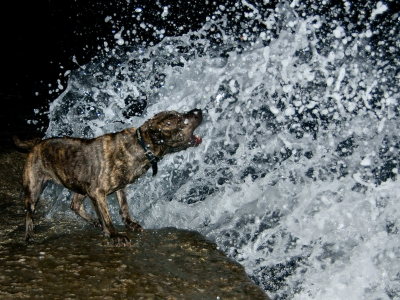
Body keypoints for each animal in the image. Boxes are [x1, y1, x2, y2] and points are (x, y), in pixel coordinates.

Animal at [15, 109, 203, 245]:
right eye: (179, 120)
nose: (198, 110)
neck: (141, 145)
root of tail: (37, 144)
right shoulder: (97, 192)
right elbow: (107, 216)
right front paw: (114, 234)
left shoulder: (119, 188)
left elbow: (124, 207)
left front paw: (129, 224)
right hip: (34, 189)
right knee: (29, 214)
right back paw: (29, 236)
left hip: (81, 186)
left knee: (74, 205)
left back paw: (94, 221)